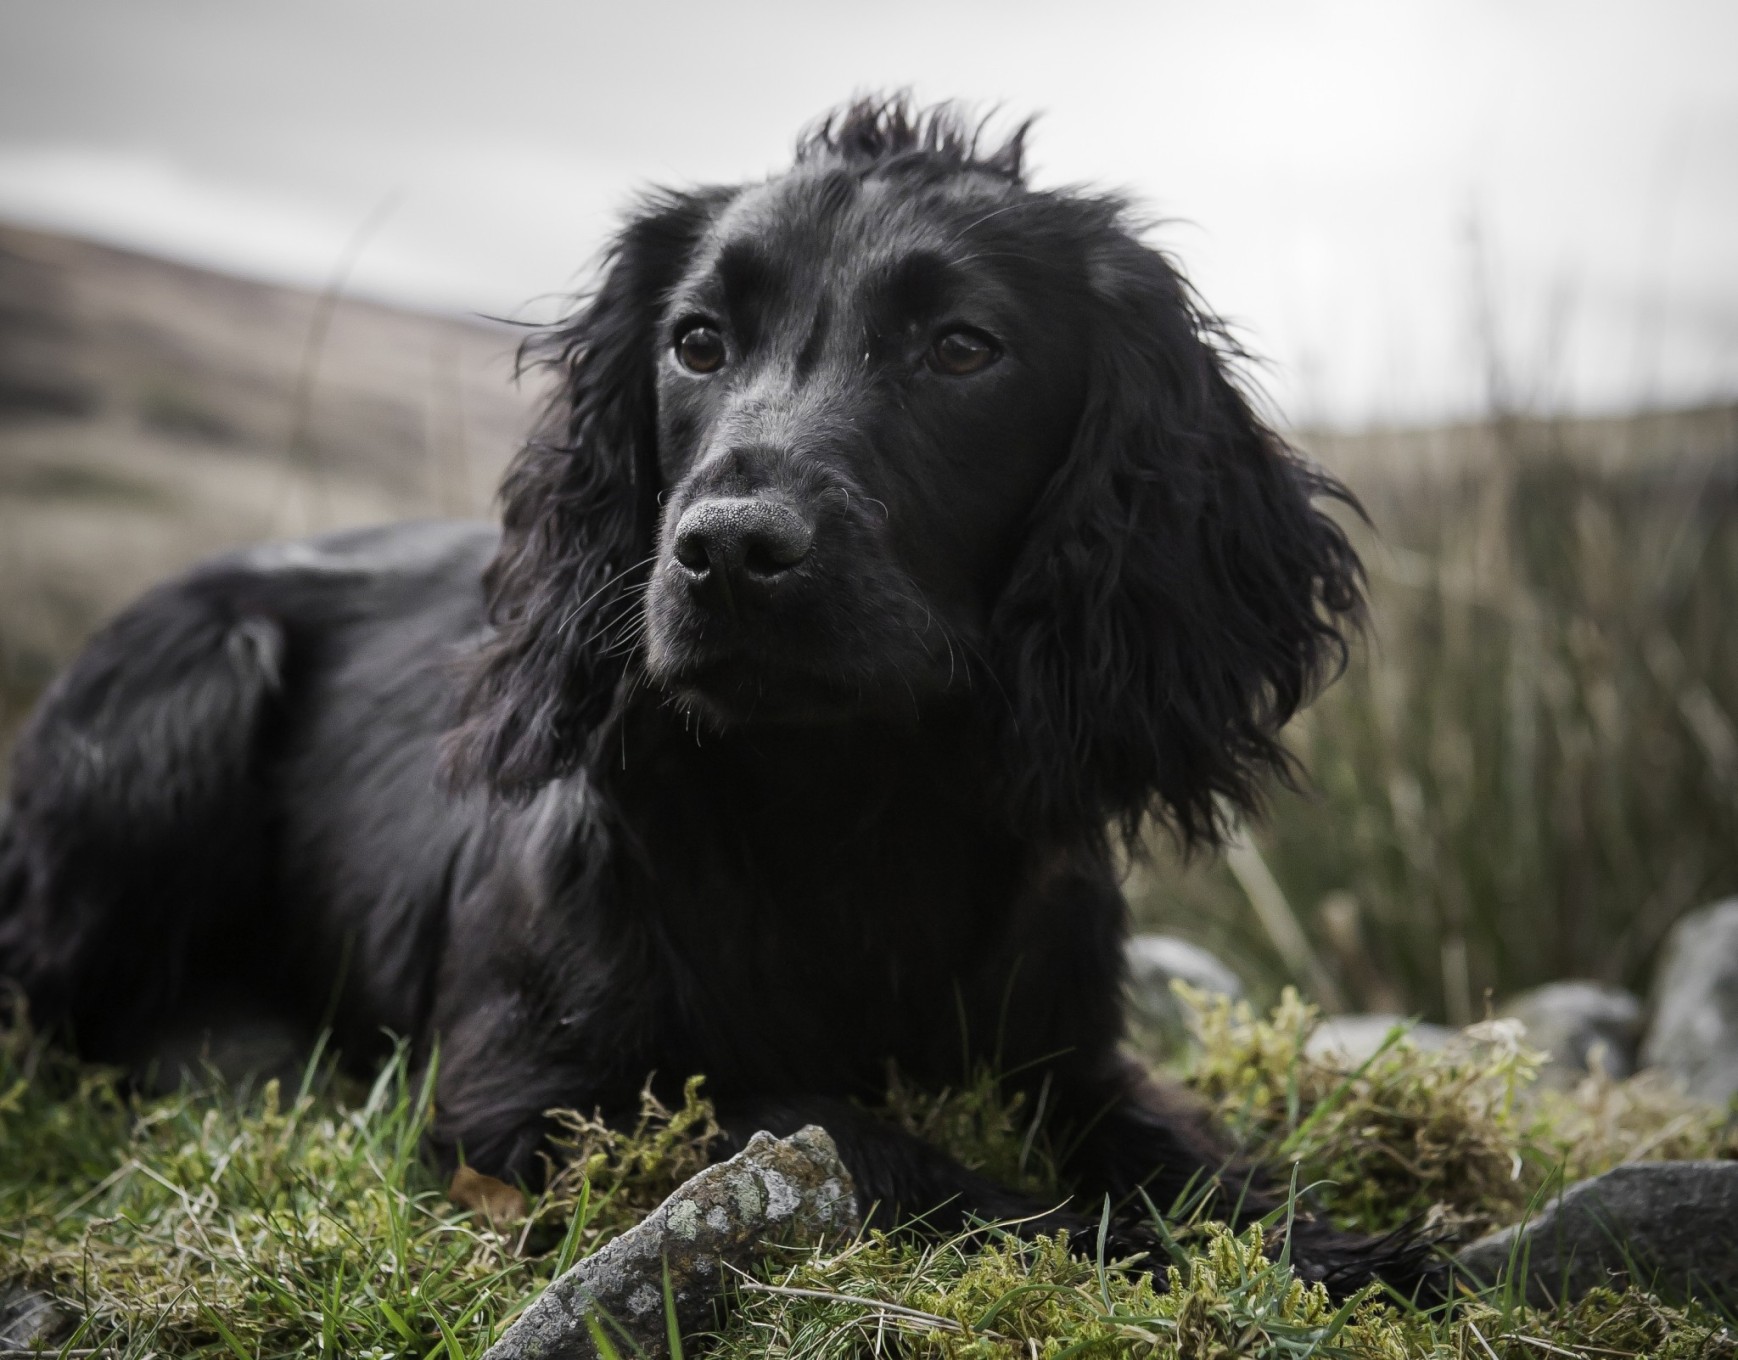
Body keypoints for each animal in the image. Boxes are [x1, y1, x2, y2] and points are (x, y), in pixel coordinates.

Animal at [0, 101, 1411, 1292]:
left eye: (962, 348)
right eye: (695, 343)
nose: (727, 550)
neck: (842, 797)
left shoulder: (1070, 1046)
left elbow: (1176, 1146)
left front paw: (1327, 1244)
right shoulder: (527, 1095)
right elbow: (842, 1134)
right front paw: (1102, 1237)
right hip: (189, 688)